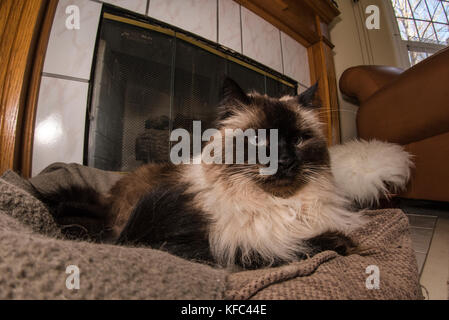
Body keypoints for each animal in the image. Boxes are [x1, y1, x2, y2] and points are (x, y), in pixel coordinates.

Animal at [45, 78, 366, 270]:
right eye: (260, 140)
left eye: (299, 140)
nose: (285, 161)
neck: (277, 204)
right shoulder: (236, 246)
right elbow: (295, 247)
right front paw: (343, 244)